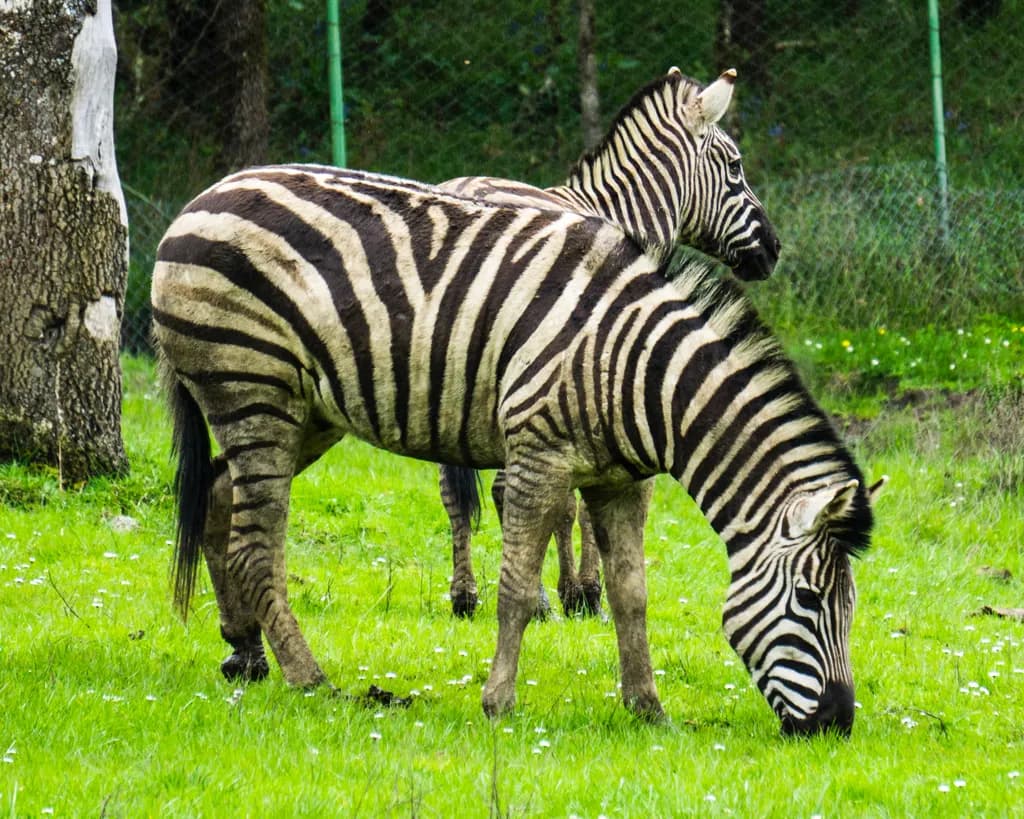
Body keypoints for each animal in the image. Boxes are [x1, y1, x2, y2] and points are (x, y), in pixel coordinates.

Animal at [152, 163, 880, 735]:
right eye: (811, 601)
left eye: (851, 607)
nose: (836, 726)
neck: (636, 367)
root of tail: (205, 194)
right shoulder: (538, 457)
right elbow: (516, 588)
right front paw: (498, 701)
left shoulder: (619, 480)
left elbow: (631, 593)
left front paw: (647, 707)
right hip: (254, 388)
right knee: (256, 544)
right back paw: (310, 677)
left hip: (306, 411)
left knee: (219, 497)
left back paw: (245, 651)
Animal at [437, 67, 781, 618]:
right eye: (735, 167)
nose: (773, 250)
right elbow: (580, 500)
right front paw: (583, 591)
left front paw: (572, 588)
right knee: (505, 488)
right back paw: (535, 599)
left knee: (455, 492)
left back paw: (465, 595)